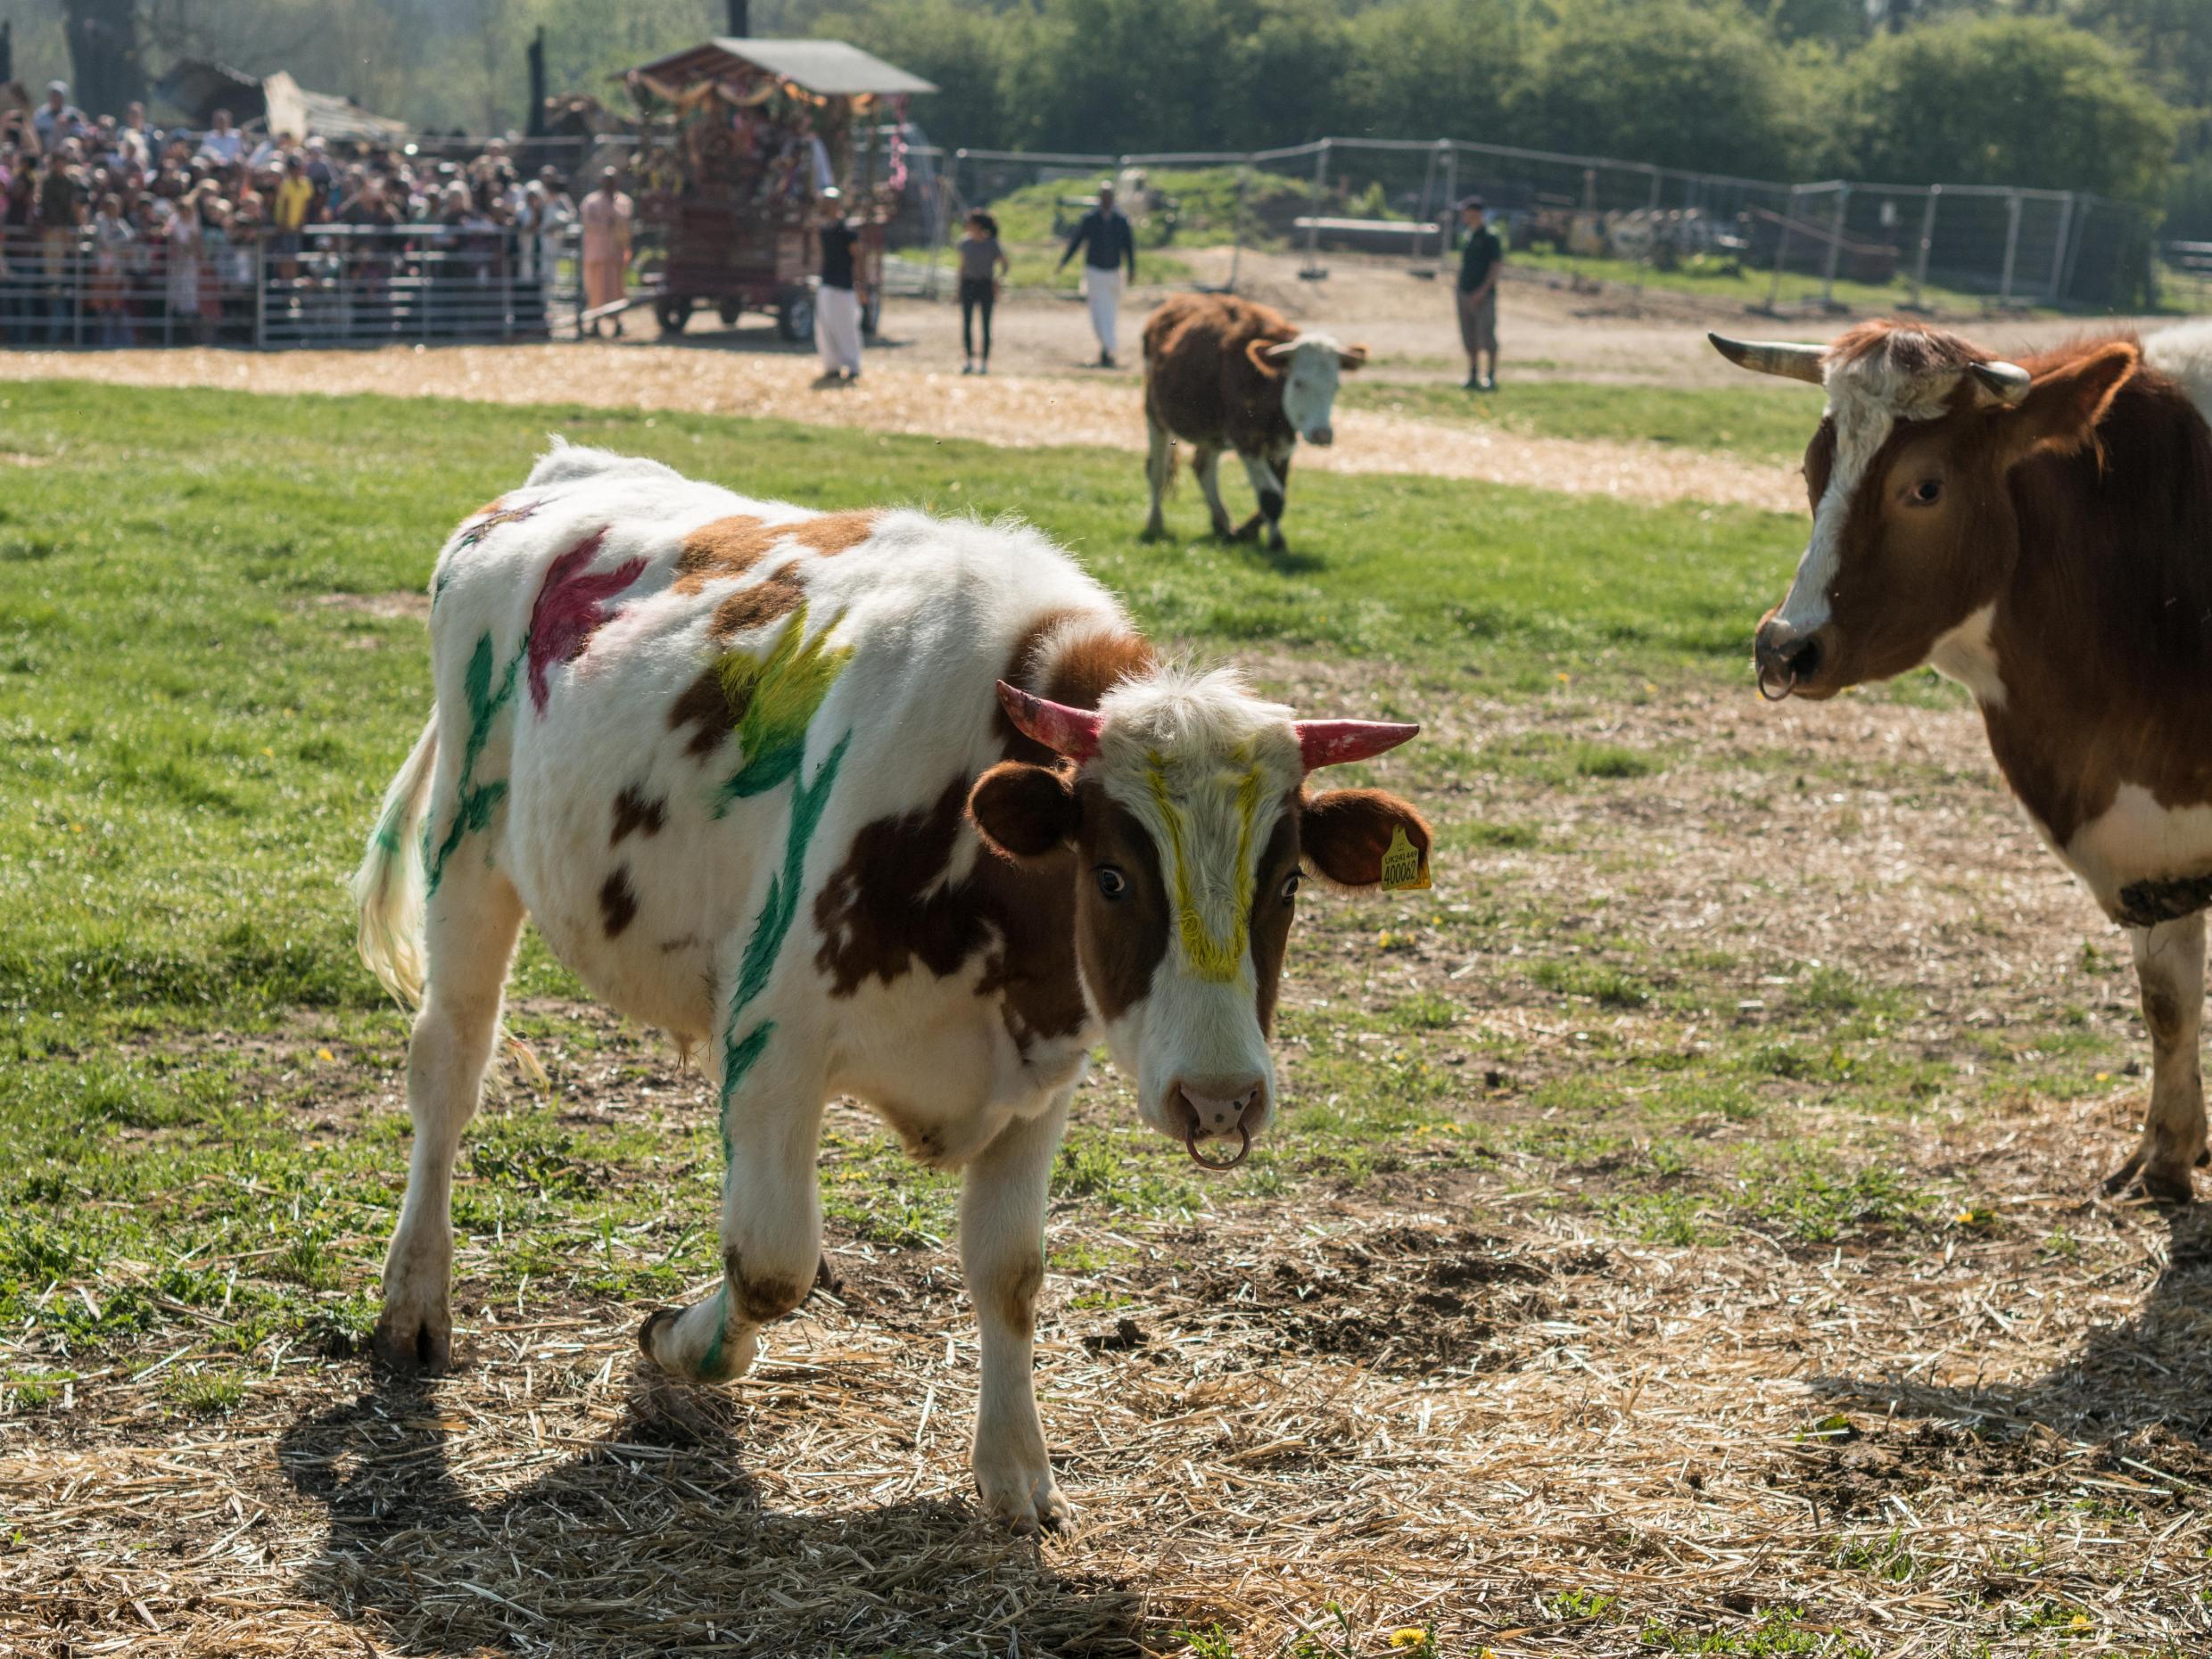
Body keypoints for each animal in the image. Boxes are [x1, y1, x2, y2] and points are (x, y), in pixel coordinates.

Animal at [353, 444, 1433, 1531]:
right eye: (1113, 877)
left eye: (1286, 884)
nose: (1219, 1099)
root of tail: (562, 474)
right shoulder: (773, 1038)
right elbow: (771, 1263)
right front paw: (680, 1343)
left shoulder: (1042, 1076)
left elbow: (1008, 1271)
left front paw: (1014, 1466)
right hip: (469, 851)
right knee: (449, 1065)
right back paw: (415, 1299)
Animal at [1141, 296, 1362, 555]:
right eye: (1298, 382)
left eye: (1335, 385)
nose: (1322, 434)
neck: (1269, 385)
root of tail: (1176, 301)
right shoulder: (1246, 441)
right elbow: (1271, 496)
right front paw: (1276, 543)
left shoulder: (1284, 444)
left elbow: (1279, 491)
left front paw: (1249, 531)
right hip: (1155, 415)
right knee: (1156, 470)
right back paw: (1155, 522)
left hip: (1213, 434)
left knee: (1203, 467)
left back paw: (1222, 523)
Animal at [1716, 320, 2212, 1212]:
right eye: (1812, 469)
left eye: (1926, 487)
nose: (1783, 648)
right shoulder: (2152, 847)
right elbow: (2168, 1002)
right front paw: (2166, 1154)